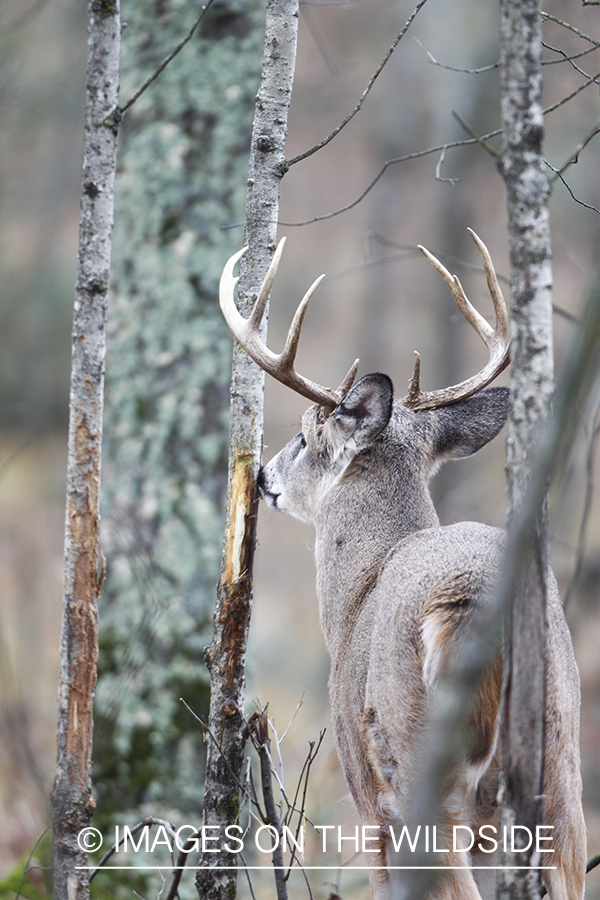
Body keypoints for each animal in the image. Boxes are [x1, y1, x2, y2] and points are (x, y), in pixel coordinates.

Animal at [219, 230, 584, 900]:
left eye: (306, 436)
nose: (263, 477)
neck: (357, 595)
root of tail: (478, 603)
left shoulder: (364, 792)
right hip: (562, 763)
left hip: (416, 758)